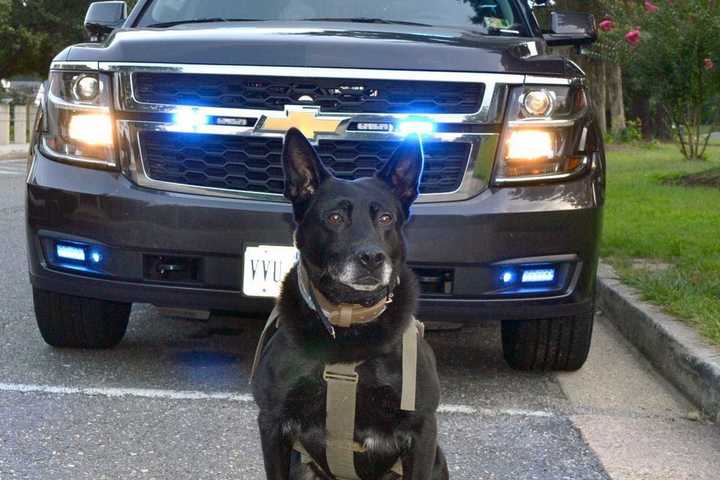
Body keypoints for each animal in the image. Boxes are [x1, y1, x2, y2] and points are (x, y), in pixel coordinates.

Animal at [250, 128, 448, 480]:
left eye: (386, 217)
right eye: (335, 217)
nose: (371, 258)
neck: (349, 320)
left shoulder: (423, 431)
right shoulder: (272, 424)